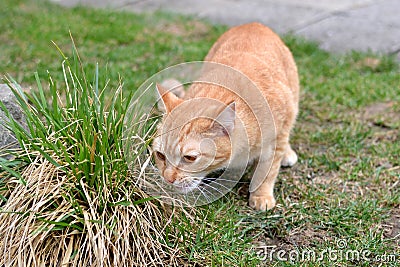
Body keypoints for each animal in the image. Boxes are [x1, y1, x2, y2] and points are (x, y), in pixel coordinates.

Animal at [153, 22, 300, 211]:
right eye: (160, 155)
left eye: (190, 158)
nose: (168, 178)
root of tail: (253, 24)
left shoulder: (277, 137)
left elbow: (267, 171)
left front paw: (261, 195)